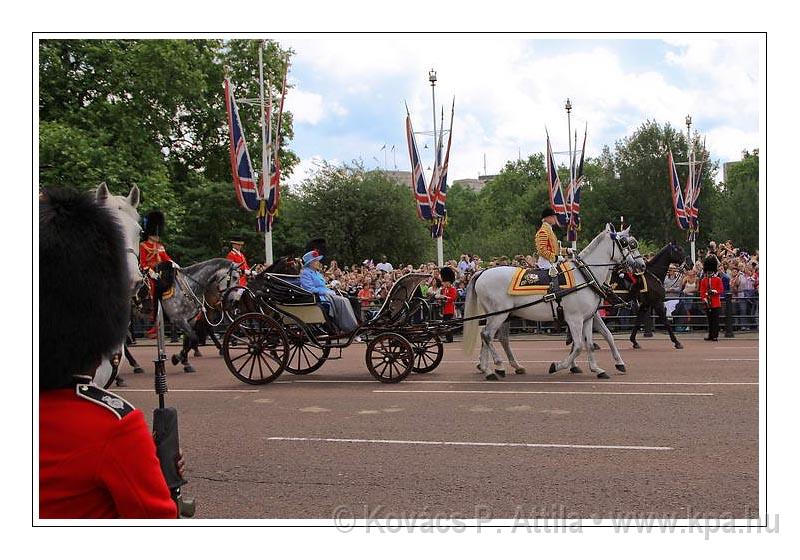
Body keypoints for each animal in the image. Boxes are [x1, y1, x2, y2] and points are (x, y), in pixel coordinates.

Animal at [462, 224, 644, 380]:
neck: (585, 276)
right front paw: (558, 366)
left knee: (495, 338)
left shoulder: (588, 318)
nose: (641, 265)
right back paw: (493, 368)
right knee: (487, 335)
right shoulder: (574, 319)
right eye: (626, 243)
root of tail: (482, 272)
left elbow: (592, 343)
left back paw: (496, 368)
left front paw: (598, 369)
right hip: (498, 315)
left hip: (502, 315)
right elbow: (579, 346)